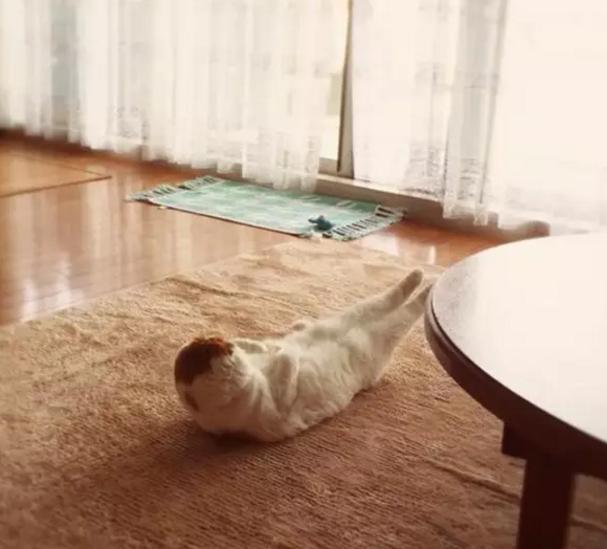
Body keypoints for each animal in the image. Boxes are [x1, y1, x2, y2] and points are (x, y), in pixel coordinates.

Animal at [174, 269, 431, 442]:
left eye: (222, 342)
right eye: (225, 349)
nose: (228, 343)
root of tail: (353, 329)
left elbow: (260, 344)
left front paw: (264, 347)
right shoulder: (278, 409)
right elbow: (287, 361)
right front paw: (285, 353)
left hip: (354, 313)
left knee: (390, 297)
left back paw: (422, 277)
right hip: (382, 333)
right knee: (405, 308)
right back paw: (429, 285)